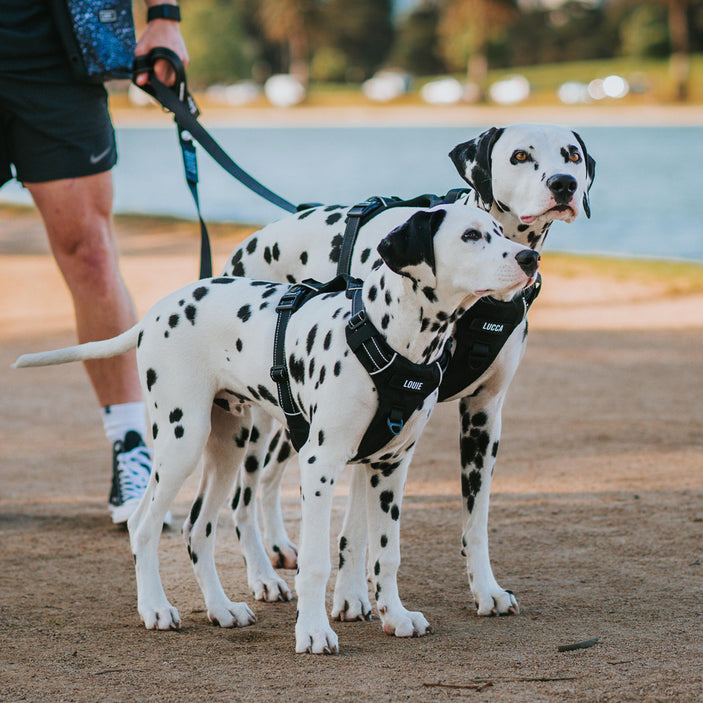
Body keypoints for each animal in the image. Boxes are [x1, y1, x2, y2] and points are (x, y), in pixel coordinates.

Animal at [15, 204, 540, 656]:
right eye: (470, 236)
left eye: (499, 231)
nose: (529, 258)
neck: (388, 336)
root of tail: (154, 314)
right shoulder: (321, 466)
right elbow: (316, 561)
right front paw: (313, 632)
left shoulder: (389, 466)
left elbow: (384, 553)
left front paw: (394, 615)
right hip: (183, 440)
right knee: (145, 525)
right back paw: (156, 608)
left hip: (228, 445)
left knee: (198, 527)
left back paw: (222, 609)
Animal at [219, 124, 592, 620]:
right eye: (519, 155)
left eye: (572, 155)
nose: (564, 185)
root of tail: (249, 243)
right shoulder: (375, 425)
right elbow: (358, 527)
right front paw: (353, 597)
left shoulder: (481, 418)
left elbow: (475, 522)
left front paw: (485, 589)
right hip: (258, 421)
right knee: (242, 496)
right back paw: (261, 575)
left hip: (294, 416)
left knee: (269, 481)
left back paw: (279, 546)